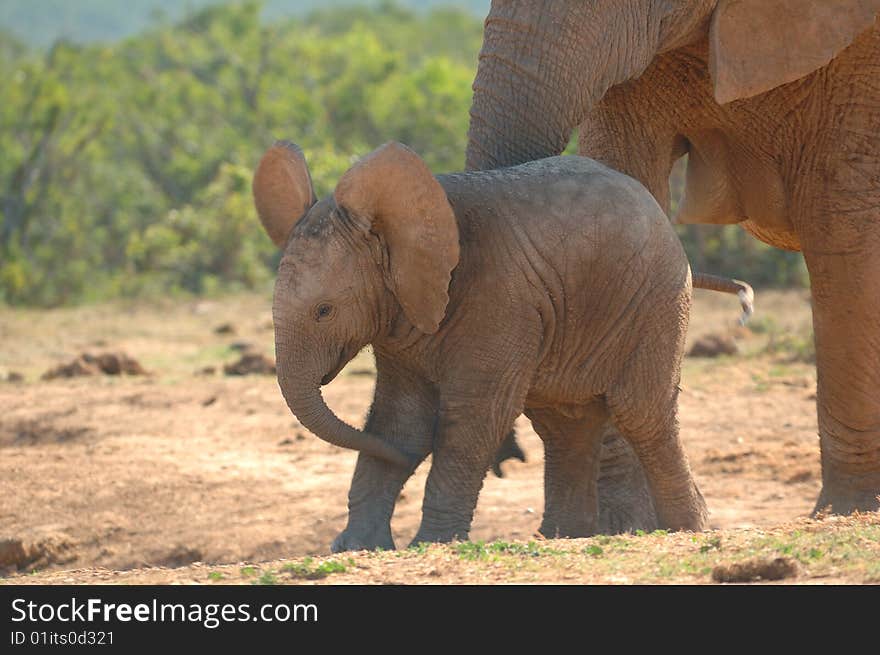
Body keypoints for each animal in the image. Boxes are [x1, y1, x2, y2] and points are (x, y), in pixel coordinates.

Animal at [253, 141, 708, 552]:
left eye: (324, 311)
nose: (402, 459)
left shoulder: (499, 299)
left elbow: (474, 418)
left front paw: (430, 543)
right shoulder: (402, 318)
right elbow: (399, 421)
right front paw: (354, 547)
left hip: (654, 301)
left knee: (642, 414)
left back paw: (687, 528)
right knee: (565, 423)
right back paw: (562, 537)